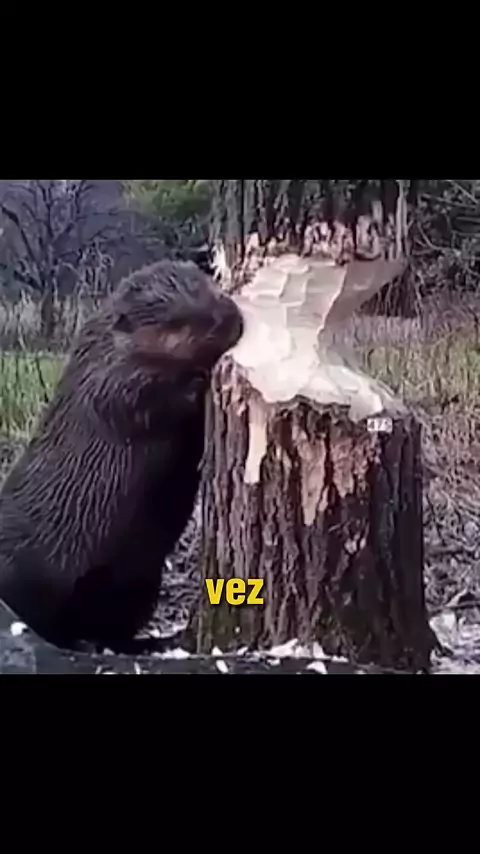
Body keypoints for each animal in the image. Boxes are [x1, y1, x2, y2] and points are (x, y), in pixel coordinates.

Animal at [0, 260, 243, 650]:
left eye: (210, 285)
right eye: (175, 323)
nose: (232, 316)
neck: (111, 346)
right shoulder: (105, 383)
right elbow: (143, 400)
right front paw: (199, 380)